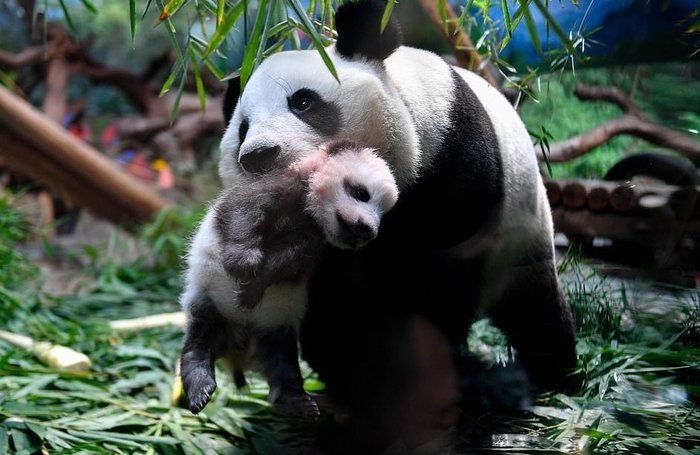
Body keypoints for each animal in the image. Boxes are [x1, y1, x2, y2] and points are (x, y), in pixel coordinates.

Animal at [221, 0, 576, 416]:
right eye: (243, 129)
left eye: (303, 102)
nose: (257, 155)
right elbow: (331, 301)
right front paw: (350, 371)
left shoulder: (452, 162)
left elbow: (439, 277)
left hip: (523, 232)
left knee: (535, 309)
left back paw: (552, 375)